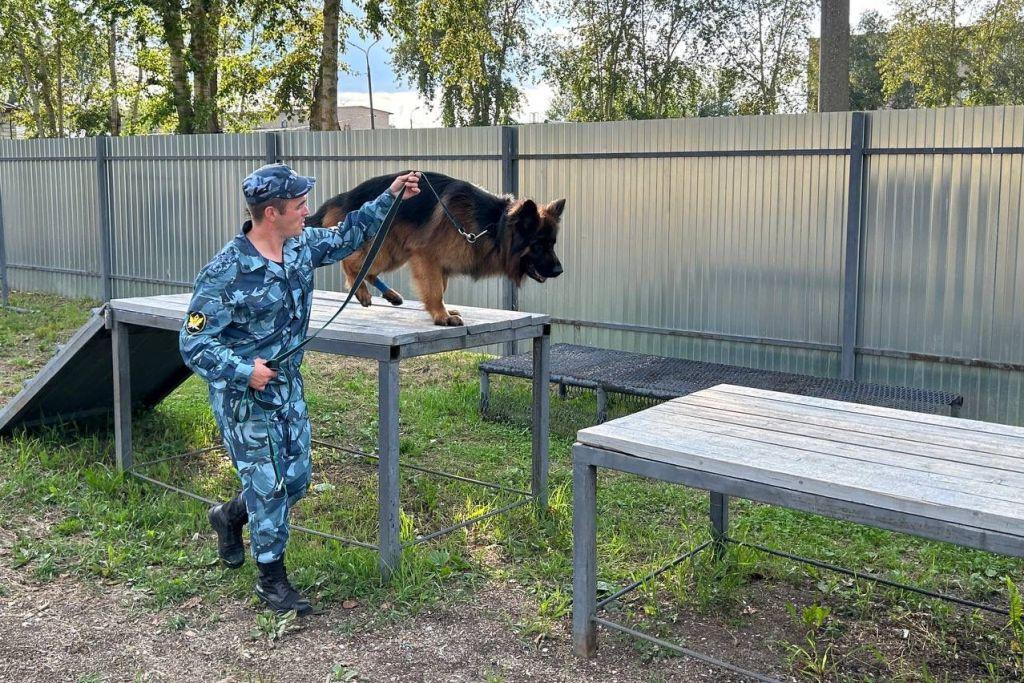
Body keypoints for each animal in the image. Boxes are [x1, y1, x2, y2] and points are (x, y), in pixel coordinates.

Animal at [307, 175, 565, 327]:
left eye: (552, 244)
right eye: (538, 245)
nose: (559, 270)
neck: (494, 225)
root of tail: (341, 198)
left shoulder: (440, 265)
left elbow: (441, 287)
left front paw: (442, 310)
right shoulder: (427, 258)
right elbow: (434, 289)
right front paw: (441, 315)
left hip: (394, 252)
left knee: (367, 269)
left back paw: (390, 294)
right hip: (383, 247)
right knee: (351, 263)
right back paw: (360, 291)